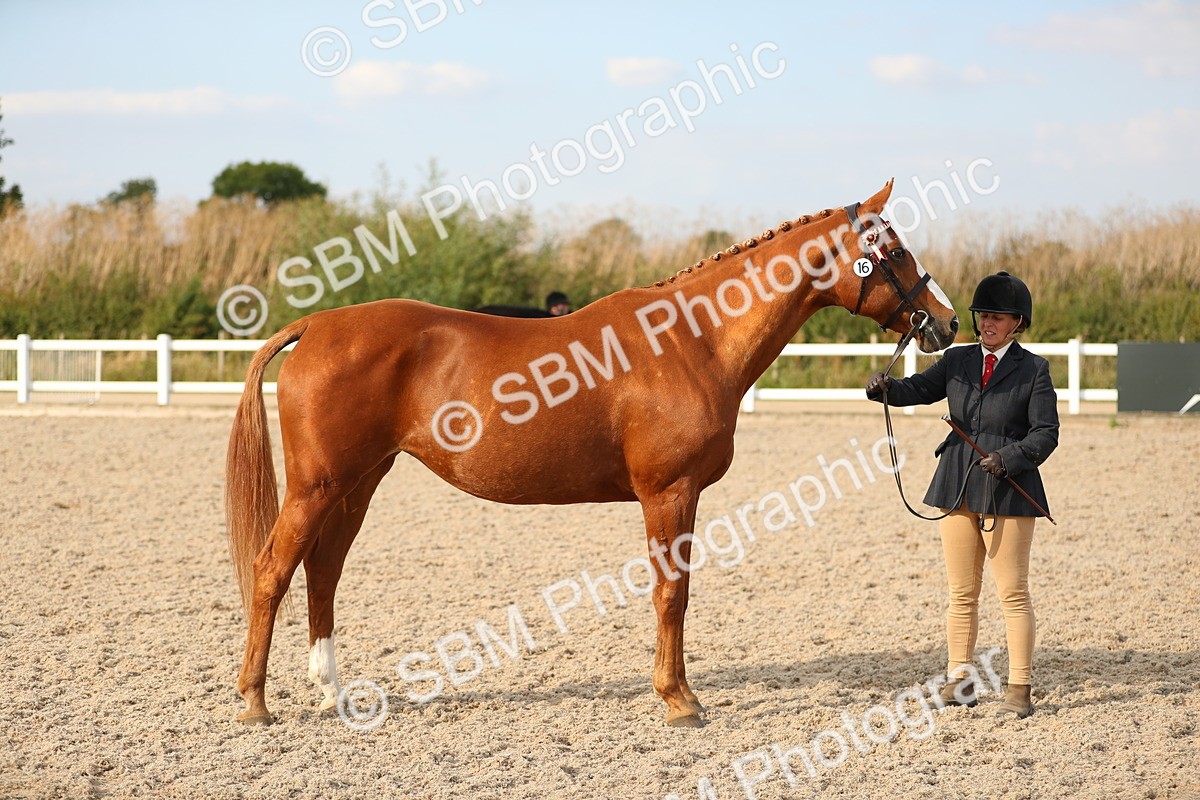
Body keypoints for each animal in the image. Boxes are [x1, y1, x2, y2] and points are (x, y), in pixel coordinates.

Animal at [226, 179, 959, 728]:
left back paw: (333, 693)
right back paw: (256, 702)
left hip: (359, 482)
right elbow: (672, 594)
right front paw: (679, 700)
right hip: (319, 486)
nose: (946, 322)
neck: (693, 339)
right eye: (892, 250)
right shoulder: (669, 493)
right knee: (272, 570)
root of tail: (316, 325)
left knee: (322, 572)